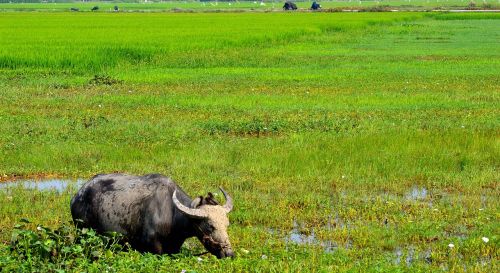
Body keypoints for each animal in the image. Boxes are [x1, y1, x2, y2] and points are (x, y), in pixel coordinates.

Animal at [70, 173, 236, 258]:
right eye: (210, 226)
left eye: (227, 225)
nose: (229, 254)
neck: (172, 214)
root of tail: (77, 196)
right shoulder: (152, 246)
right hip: (83, 233)